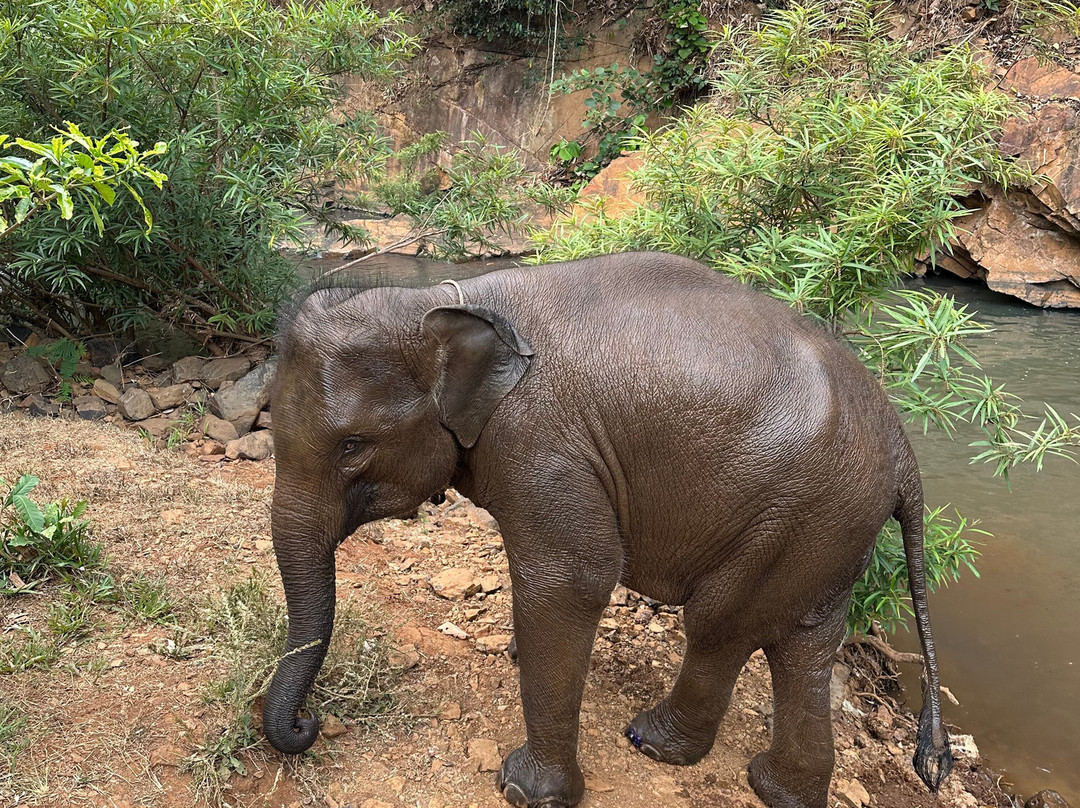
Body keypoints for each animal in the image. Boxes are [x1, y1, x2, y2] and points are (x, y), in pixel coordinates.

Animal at [264, 251, 952, 808]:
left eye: (352, 446)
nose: (307, 725)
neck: (438, 301)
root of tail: (902, 448)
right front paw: (517, 656)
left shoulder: (543, 443)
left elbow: (572, 580)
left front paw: (525, 791)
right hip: (825, 526)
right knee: (804, 643)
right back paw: (775, 789)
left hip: (800, 512)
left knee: (720, 624)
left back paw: (651, 742)